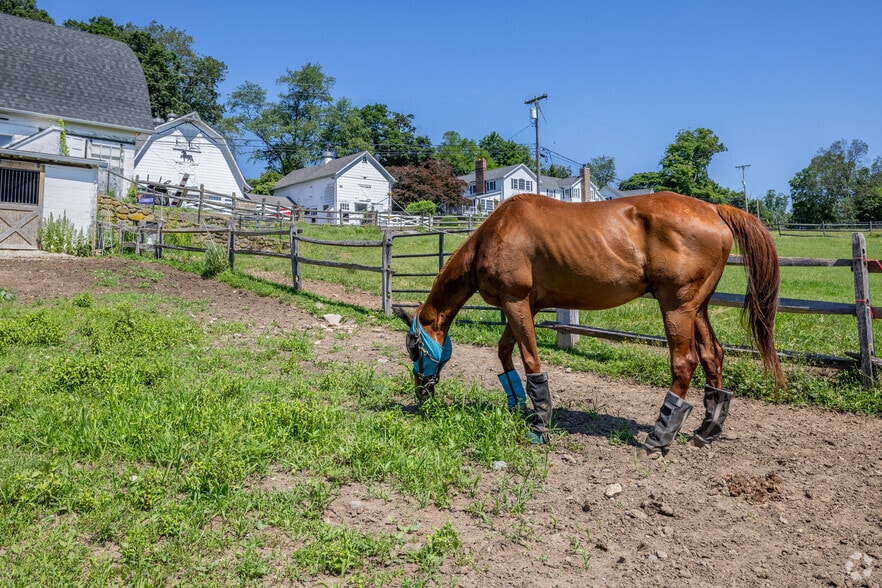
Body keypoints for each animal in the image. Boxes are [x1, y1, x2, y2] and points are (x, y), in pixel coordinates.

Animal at [394, 191, 785, 453]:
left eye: (414, 348)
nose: (422, 394)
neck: (492, 234)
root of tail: (714, 209)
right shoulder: (523, 306)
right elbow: (505, 353)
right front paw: (518, 405)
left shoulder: (516, 302)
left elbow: (530, 360)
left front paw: (540, 424)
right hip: (698, 308)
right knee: (712, 356)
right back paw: (707, 430)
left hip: (678, 306)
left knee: (684, 363)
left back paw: (658, 439)